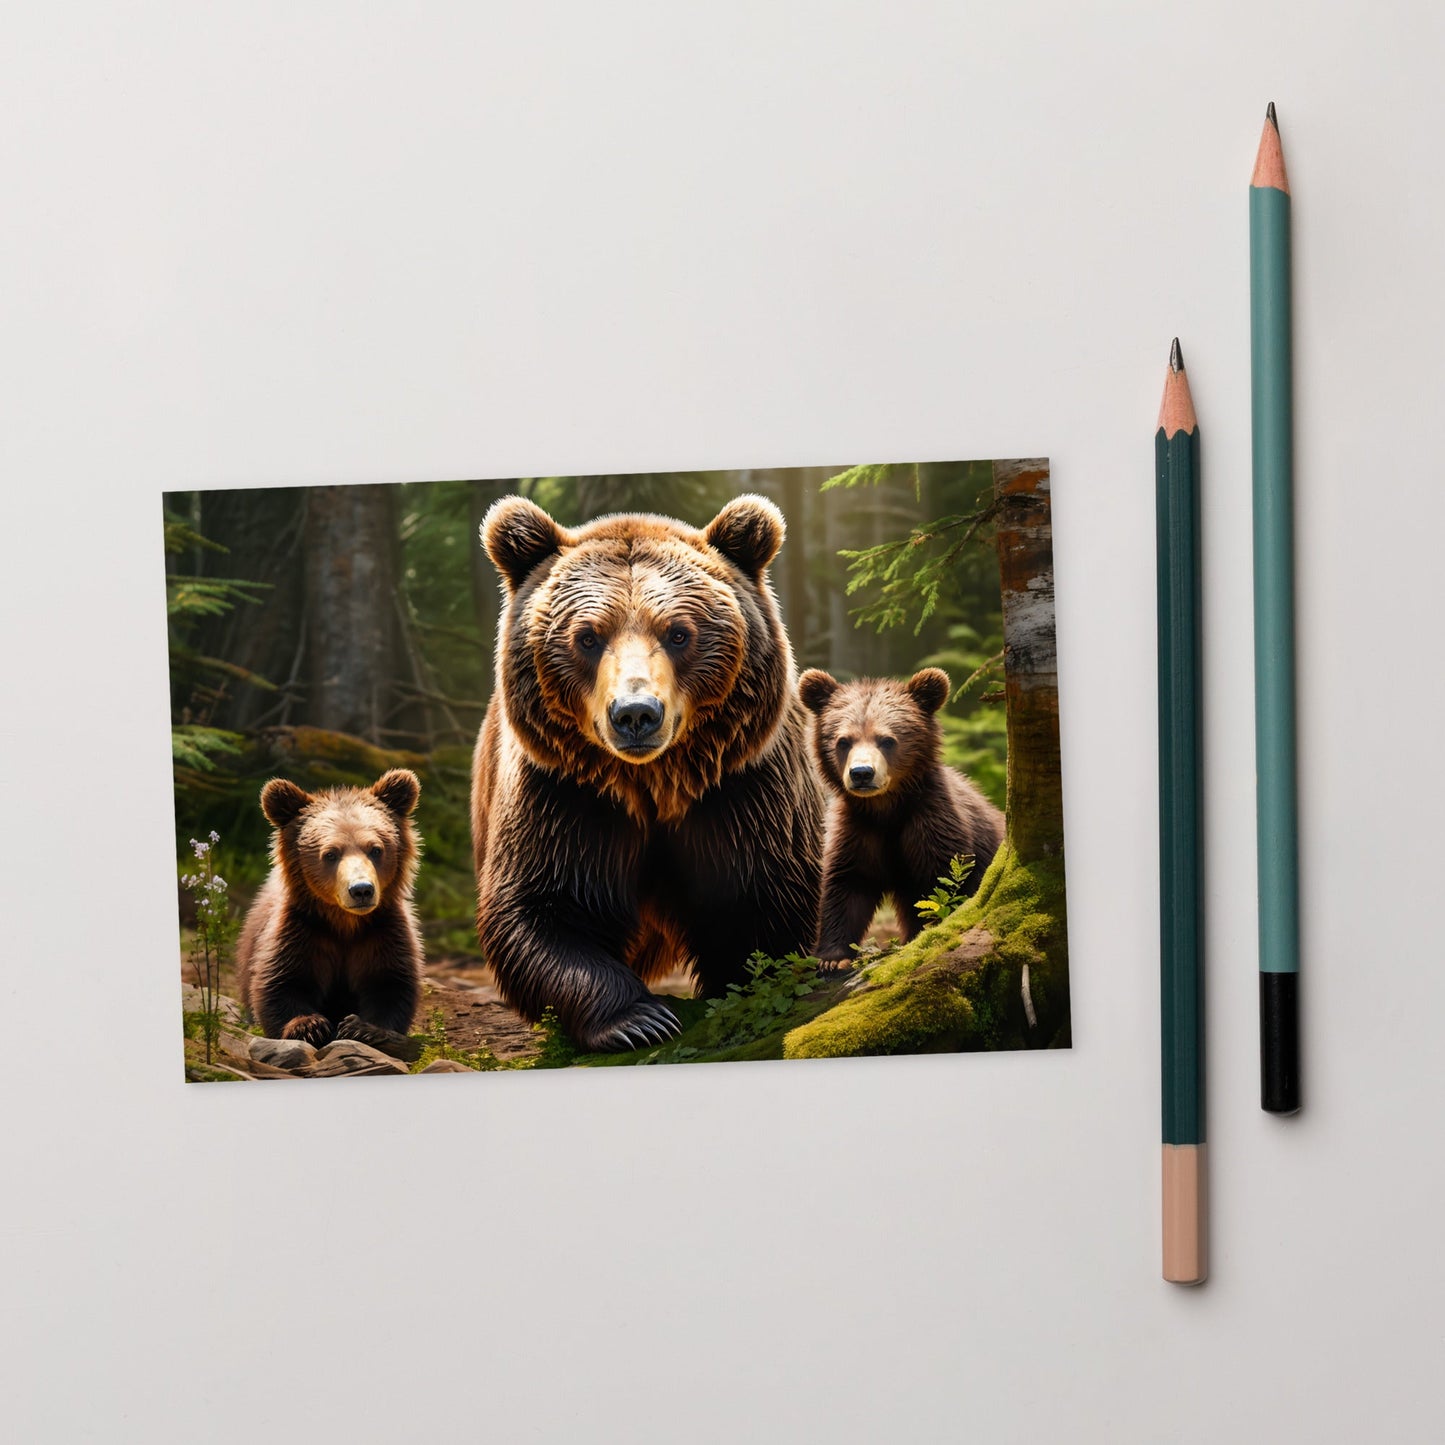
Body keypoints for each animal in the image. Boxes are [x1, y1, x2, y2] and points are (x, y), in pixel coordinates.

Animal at [235, 769, 425, 1046]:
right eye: (330, 854)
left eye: (376, 849)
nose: (361, 889)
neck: (344, 922)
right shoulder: (302, 930)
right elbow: (281, 982)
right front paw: (309, 1025)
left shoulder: (382, 930)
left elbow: (391, 983)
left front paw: (363, 1027)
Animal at [470, 493, 825, 1052]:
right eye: (587, 637)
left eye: (679, 633)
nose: (636, 713)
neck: (654, 782)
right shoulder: (565, 793)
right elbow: (541, 908)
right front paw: (640, 1018)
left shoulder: (743, 787)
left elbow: (765, 899)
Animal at [796, 667, 1004, 968]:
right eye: (843, 740)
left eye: (887, 740)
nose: (862, 773)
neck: (886, 808)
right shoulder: (857, 829)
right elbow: (847, 886)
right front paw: (832, 957)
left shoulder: (932, 822)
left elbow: (945, 885)